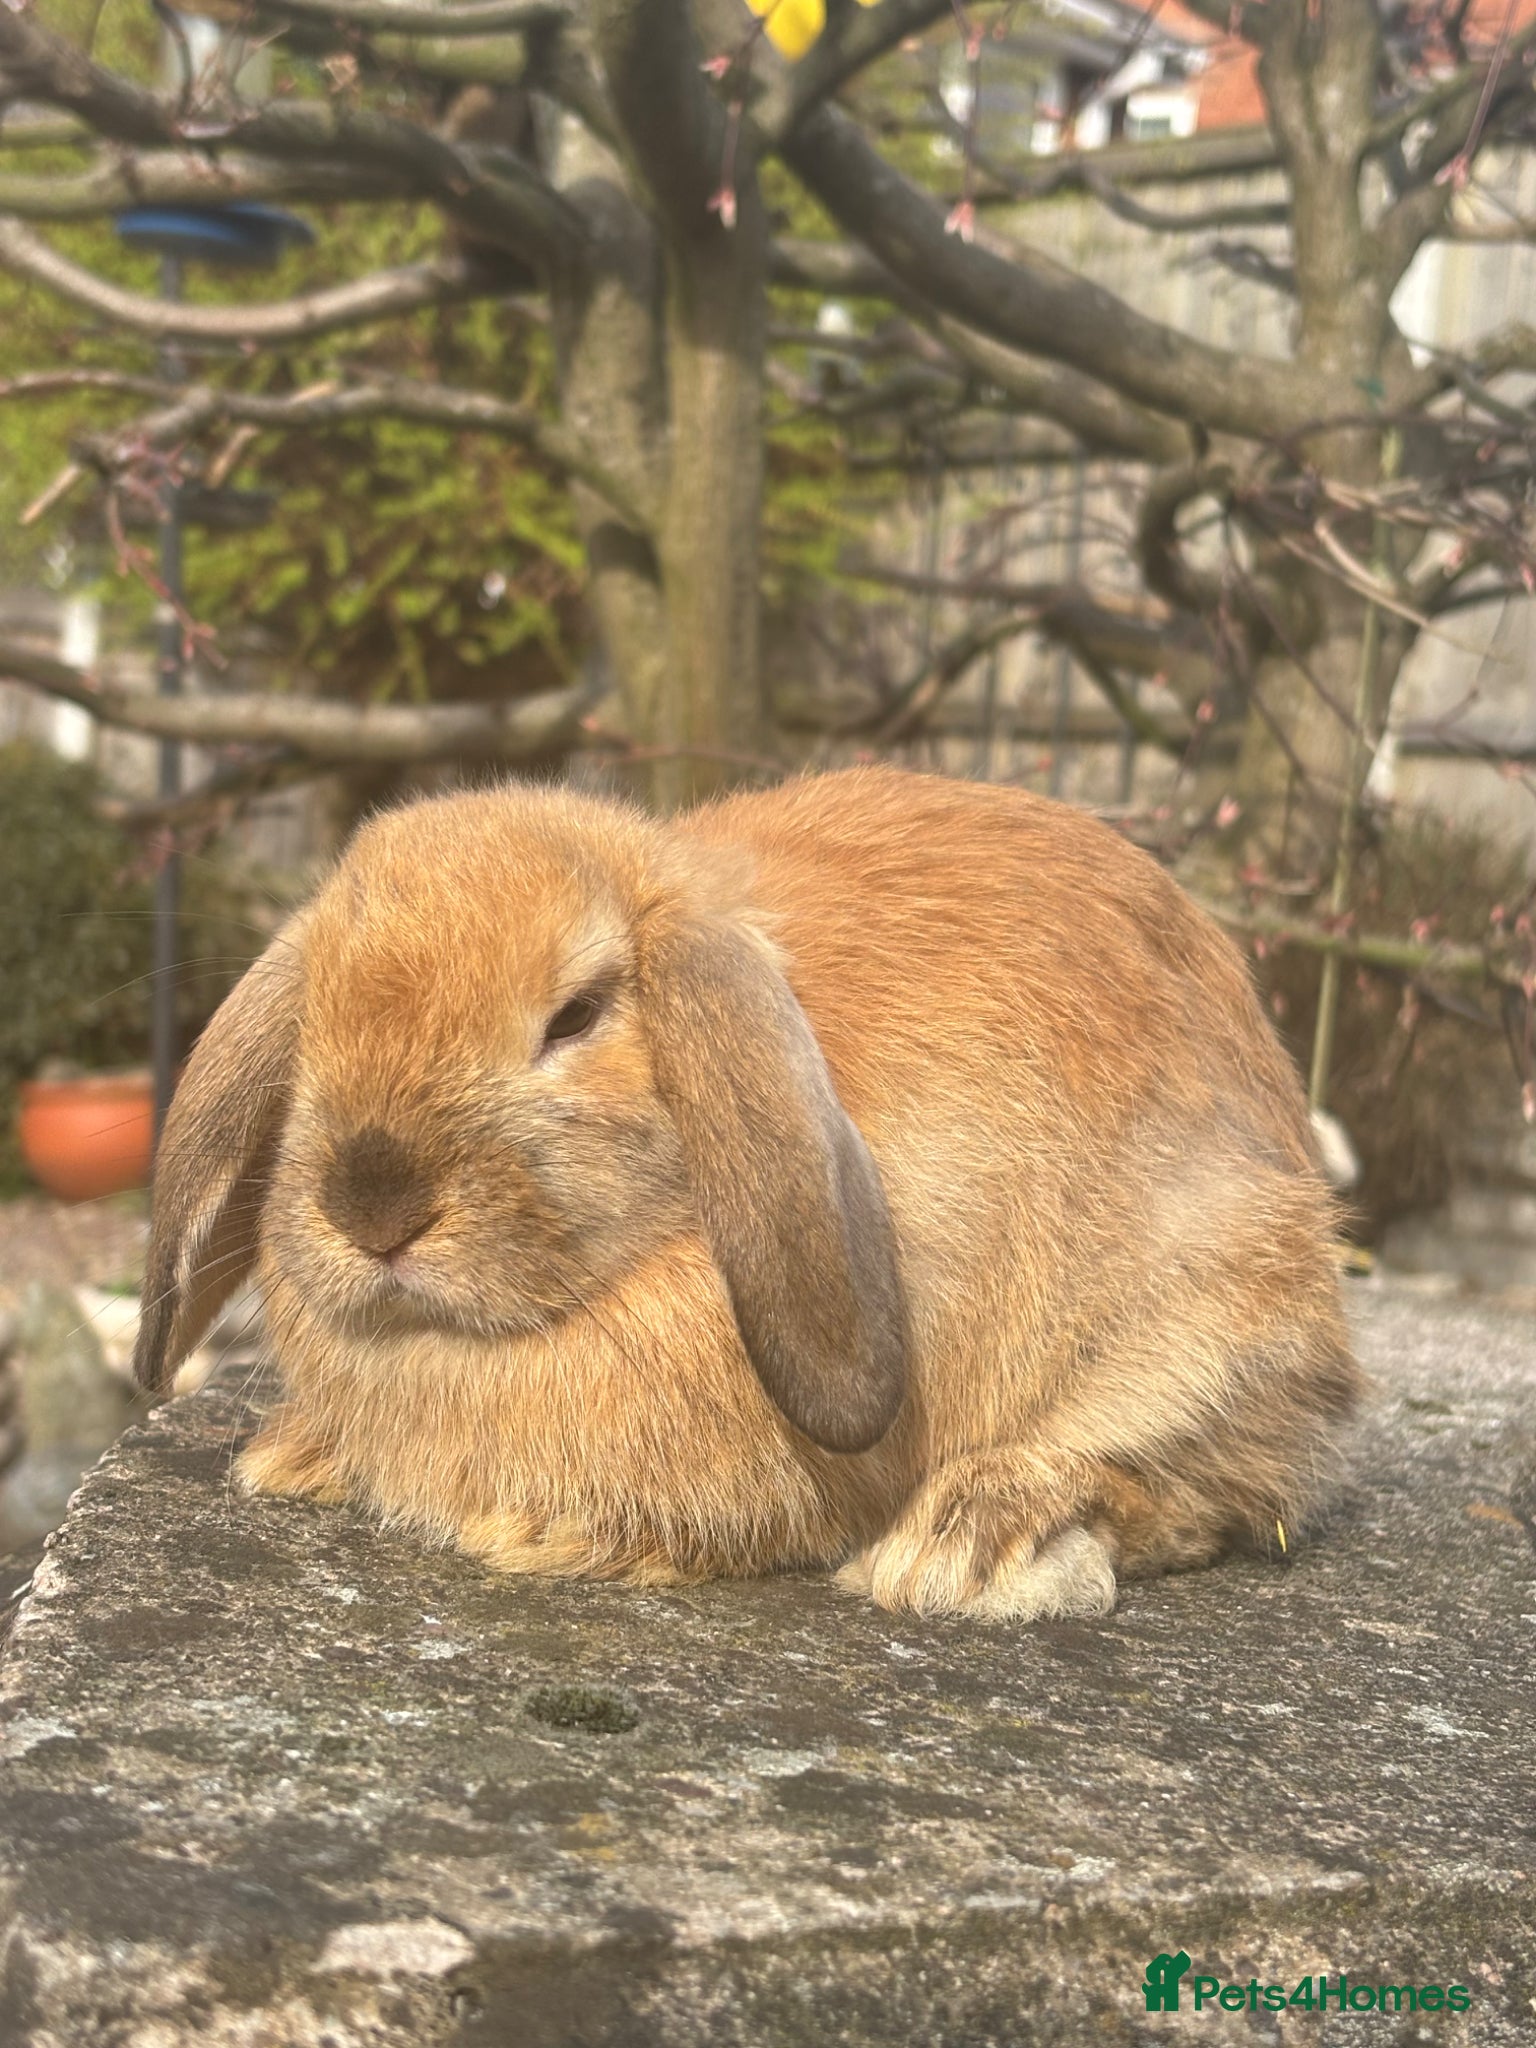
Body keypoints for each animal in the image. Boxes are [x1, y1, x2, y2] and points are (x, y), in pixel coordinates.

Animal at [134, 765, 1359, 1620]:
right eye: (316, 1020)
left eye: (575, 1015)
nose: (373, 1205)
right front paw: (294, 1456)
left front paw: (544, 1535)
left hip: (1215, 1306)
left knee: (1208, 1490)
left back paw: (969, 1542)